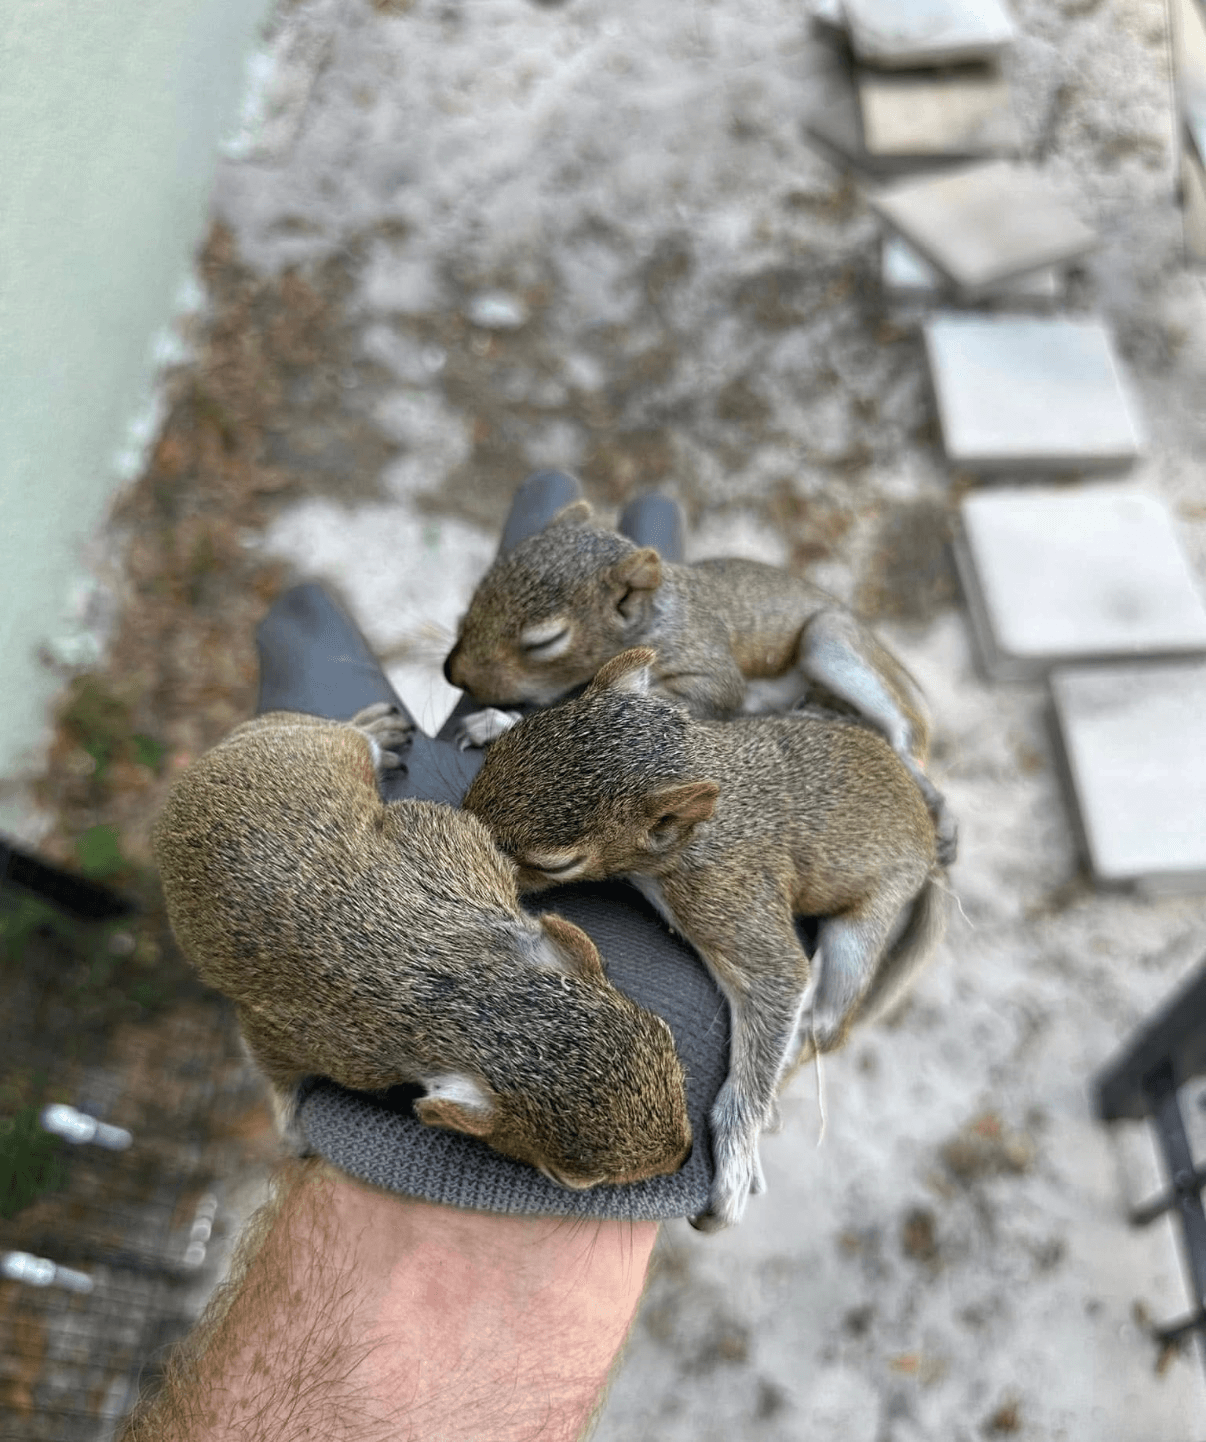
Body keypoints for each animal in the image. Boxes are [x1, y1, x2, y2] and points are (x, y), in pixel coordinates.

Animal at [151, 704, 692, 1190]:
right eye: (567, 1179)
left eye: (664, 1032)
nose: (684, 1156)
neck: (456, 983)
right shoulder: (328, 1043)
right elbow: (275, 1066)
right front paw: (290, 1124)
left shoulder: (446, 851)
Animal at [444, 500, 955, 865]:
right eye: (480, 588)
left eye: (544, 641)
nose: (453, 673)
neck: (656, 615)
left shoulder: (704, 659)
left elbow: (707, 695)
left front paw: (500, 720)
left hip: (830, 641)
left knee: (906, 737)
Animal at [462, 649, 947, 1230]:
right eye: (499, 756)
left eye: (556, 863)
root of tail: (927, 833)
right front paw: (496, 718)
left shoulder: (727, 896)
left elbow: (781, 979)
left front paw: (737, 1148)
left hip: (869, 919)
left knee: (828, 1021)